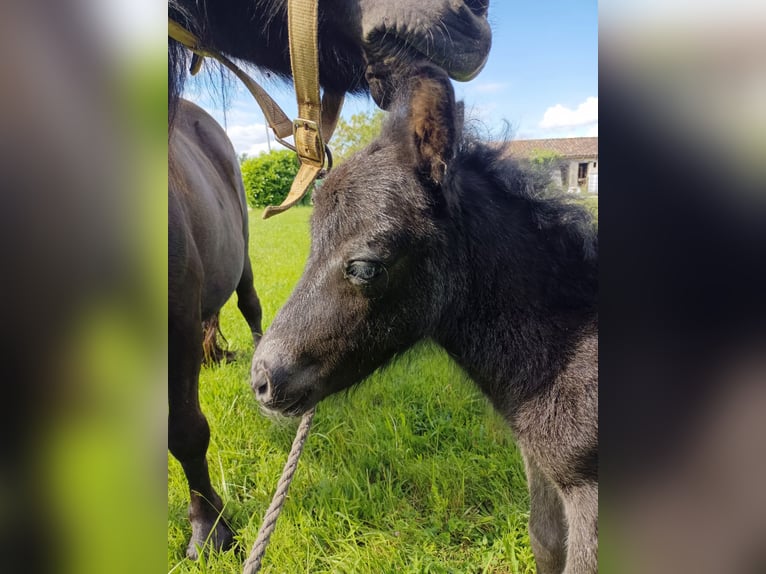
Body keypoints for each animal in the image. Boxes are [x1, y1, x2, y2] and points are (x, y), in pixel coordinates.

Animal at [252, 65, 600, 572]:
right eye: (312, 243)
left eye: (365, 267)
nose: (261, 381)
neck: (570, 350)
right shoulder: (543, 470)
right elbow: (545, 542)